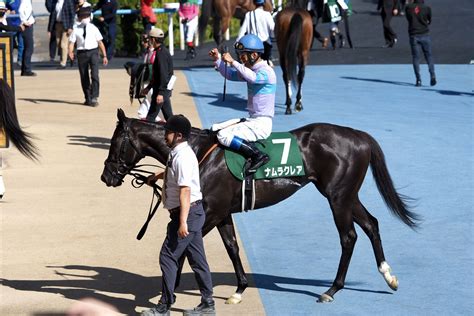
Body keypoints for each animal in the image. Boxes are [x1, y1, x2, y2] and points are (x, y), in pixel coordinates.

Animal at [101, 109, 418, 304]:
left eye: (116, 142)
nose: (106, 177)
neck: (198, 152)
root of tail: (358, 135)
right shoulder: (222, 212)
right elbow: (231, 247)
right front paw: (239, 290)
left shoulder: (209, 213)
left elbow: (181, 251)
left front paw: (167, 294)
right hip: (347, 195)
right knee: (371, 224)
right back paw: (388, 276)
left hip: (338, 197)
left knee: (348, 237)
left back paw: (332, 289)